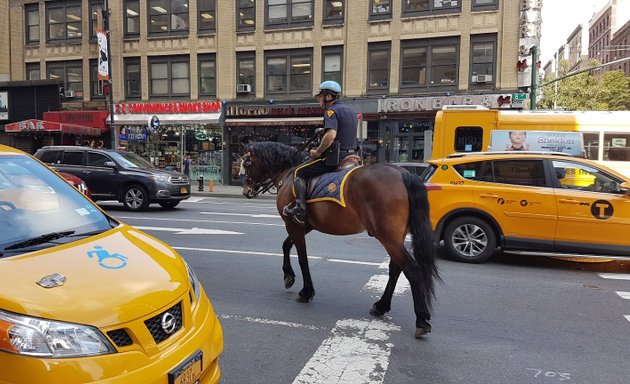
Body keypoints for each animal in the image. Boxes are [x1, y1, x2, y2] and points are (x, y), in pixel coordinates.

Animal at [242, 142, 440, 340]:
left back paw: (421, 320)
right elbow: (285, 245)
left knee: (412, 270)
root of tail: (403, 173)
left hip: (388, 237)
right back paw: (381, 306)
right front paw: (288, 276)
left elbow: (302, 258)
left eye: (246, 164)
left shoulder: (293, 224)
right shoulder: (303, 226)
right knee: (395, 269)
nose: (246, 191)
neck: (288, 174)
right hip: (396, 237)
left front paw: (306, 291)